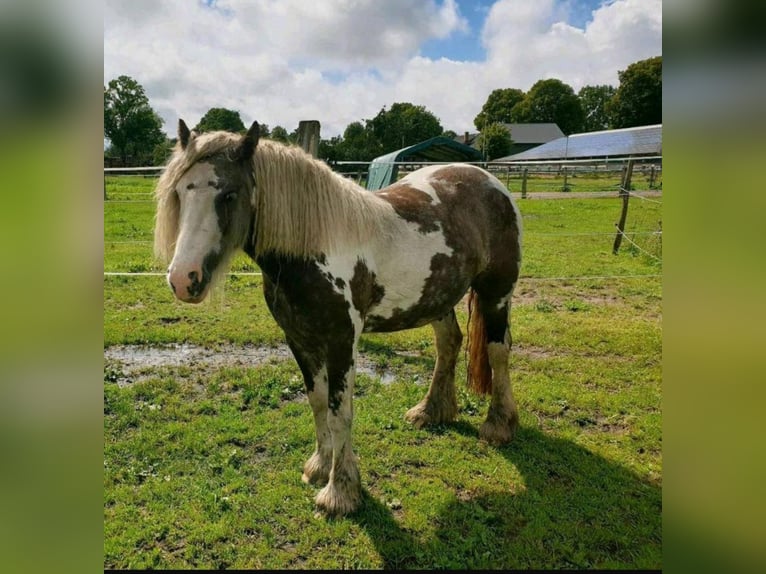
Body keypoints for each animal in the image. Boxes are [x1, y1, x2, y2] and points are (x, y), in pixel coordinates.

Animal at [154, 120, 520, 516]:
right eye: (180, 192)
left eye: (230, 195)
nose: (182, 279)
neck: (313, 248)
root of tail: (490, 182)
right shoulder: (299, 340)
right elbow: (317, 402)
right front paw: (319, 466)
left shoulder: (342, 342)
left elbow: (339, 411)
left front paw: (340, 492)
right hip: (437, 298)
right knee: (449, 344)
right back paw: (430, 411)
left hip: (496, 293)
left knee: (498, 351)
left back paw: (499, 425)